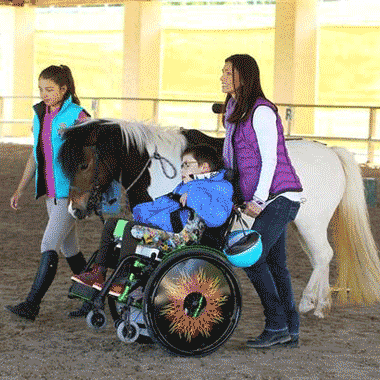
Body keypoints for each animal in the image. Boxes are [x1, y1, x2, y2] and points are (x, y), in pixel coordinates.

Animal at [57, 118, 380, 318]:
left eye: (84, 164)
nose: (75, 209)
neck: (158, 167)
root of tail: (331, 152)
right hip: (301, 226)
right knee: (320, 258)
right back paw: (320, 304)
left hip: (311, 224)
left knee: (323, 255)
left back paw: (309, 303)